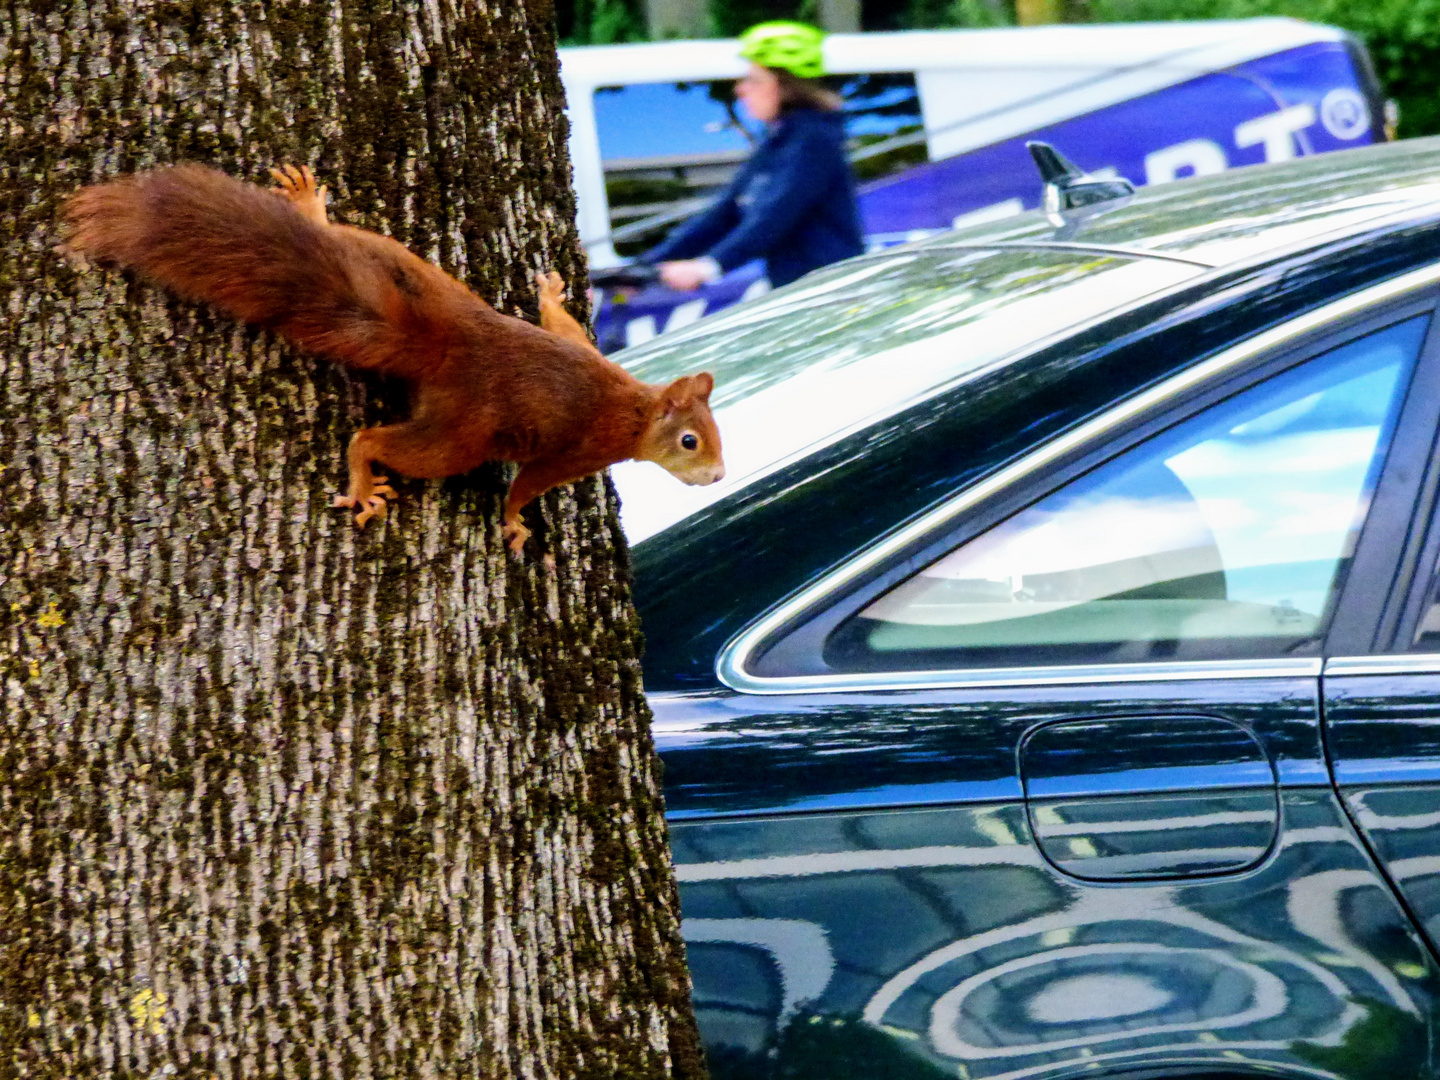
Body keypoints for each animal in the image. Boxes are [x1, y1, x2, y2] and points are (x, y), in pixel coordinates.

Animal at [61, 164, 725, 552]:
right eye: (691, 441)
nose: (718, 476)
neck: (633, 405)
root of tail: (452, 343)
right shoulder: (577, 451)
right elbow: (526, 485)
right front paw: (515, 524)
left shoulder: (584, 348)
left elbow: (563, 325)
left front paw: (551, 293)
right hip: (458, 439)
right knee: (375, 441)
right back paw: (362, 482)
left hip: (398, 261)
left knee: (342, 239)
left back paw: (309, 207)